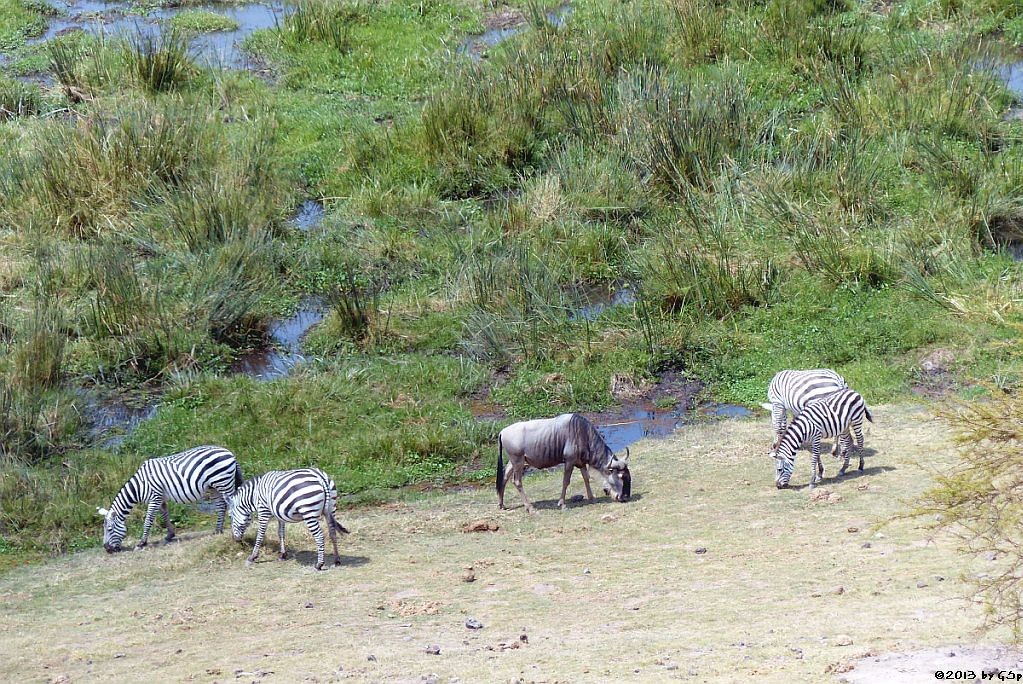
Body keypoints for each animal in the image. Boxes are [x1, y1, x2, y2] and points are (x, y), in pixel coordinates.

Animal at [96, 445, 243, 552]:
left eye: (109, 529)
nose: (107, 549)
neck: (140, 485)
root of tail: (229, 452)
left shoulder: (154, 497)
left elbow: (148, 521)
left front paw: (142, 543)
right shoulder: (160, 498)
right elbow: (165, 515)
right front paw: (170, 535)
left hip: (224, 482)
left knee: (232, 504)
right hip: (213, 487)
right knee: (221, 506)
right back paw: (218, 530)